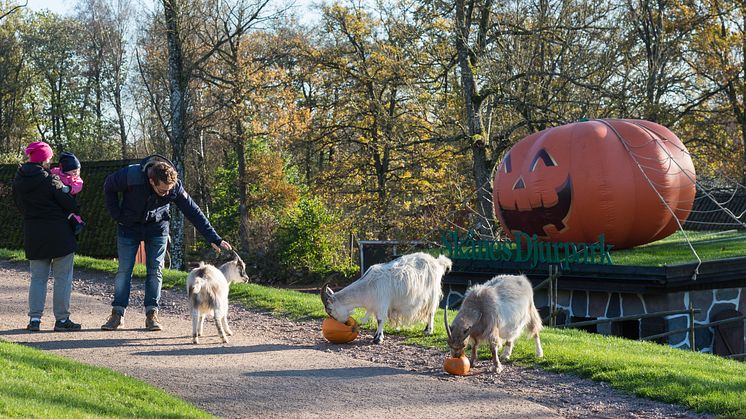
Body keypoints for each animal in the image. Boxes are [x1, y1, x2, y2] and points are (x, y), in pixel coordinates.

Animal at [318, 253, 450, 344]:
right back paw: (426, 329)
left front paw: (378, 339)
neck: (367, 286)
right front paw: (376, 336)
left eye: (329, 310)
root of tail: (437, 262)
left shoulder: (382, 303)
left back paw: (429, 331)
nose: (344, 323)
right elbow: (378, 320)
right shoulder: (376, 306)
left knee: (431, 312)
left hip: (432, 295)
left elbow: (380, 320)